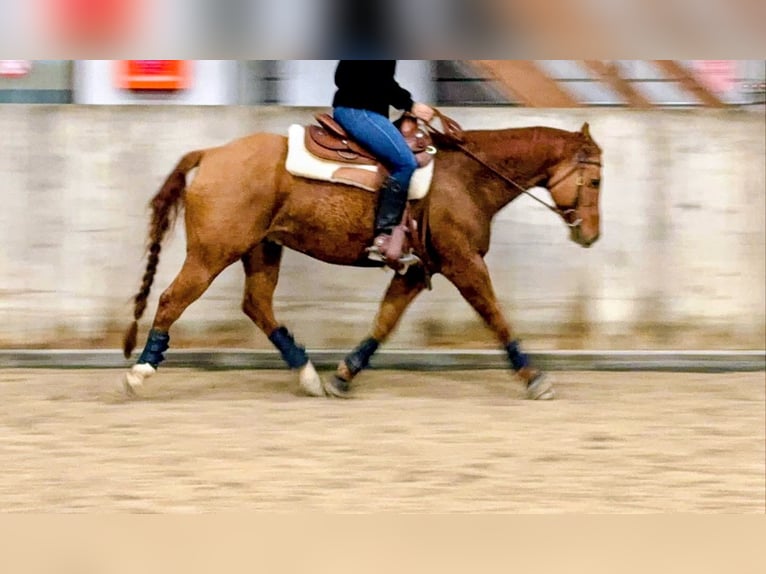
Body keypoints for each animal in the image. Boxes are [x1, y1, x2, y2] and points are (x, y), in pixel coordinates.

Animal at [121, 112, 603, 400]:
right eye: (596, 181)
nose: (591, 236)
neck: (466, 177)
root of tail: (211, 154)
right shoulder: (463, 262)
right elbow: (495, 316)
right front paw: (534, 377)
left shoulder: (415, 271)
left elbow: (384, 321)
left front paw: (344, 375)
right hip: (212, 253)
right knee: (173, 299)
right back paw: (140, 371)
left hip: (262, 248)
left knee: (256, 304)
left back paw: (309, 376)